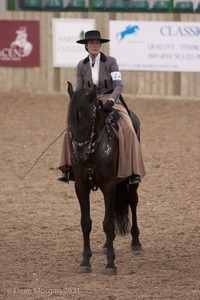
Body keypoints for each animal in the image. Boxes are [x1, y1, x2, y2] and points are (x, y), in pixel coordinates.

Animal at [67, 81, 142, 276]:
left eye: (91, 118)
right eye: (70, 119)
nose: (80, 153)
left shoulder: (109, 185)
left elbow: (107, 223)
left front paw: (110, 265)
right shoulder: (81, 187)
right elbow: (86, 222)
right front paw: (85, 262)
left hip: (130, 182)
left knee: (133, 201)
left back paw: (136, 242)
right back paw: (108, 246)